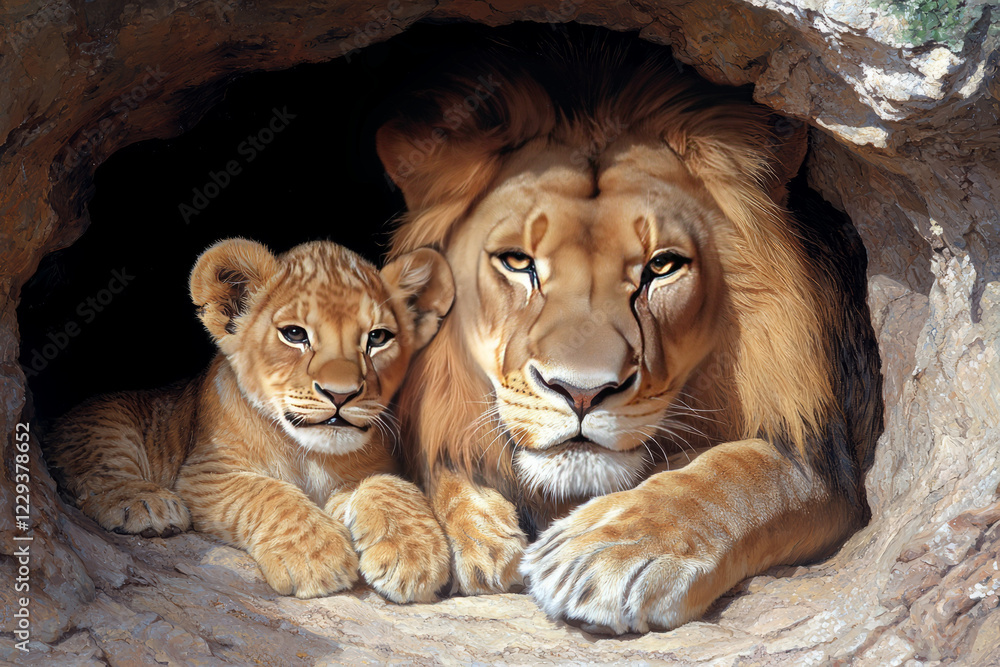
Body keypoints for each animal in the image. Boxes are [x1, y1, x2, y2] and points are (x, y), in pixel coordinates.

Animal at [47, 238, 455, 603]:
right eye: (294, 334)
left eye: (378, 338)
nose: (341, 395)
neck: (306, 452)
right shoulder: (204, 475)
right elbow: (267, 493)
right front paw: (316, 556)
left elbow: (389, 484)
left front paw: (413, 555)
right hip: (108, 421)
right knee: (98, 470)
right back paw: (147, 504)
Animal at [376, 35, 883, 633]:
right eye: (518, 261)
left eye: (661, 267)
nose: (582, 393)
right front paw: (472, 534)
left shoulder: (832, 464)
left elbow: (746, 474)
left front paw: (602, 549)